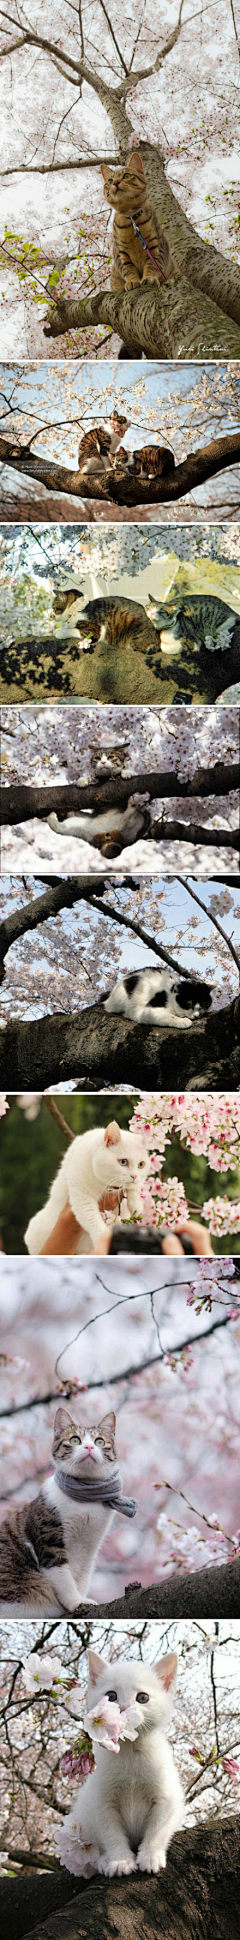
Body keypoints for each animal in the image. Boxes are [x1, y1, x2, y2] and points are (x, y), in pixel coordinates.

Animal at [24, 1125, 148, 1257]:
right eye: (123, 1162)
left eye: (141, 1164)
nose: (134, 1176)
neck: (104, 1184)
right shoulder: (82, 1197)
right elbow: (93, 1220)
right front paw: (103, 1241)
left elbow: (134, 1188)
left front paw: (136, 1205)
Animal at [56, 1645, 183, 1870]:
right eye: (111, 1696)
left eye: (142, 1698)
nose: (123, 1708)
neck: (130, 1751)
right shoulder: (101, 1800)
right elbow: (110, 1832)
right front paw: (119, 1860)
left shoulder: (167, 1797)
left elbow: (158, 1828)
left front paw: (150, 1856)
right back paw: (102, 1860)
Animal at [100, 151, 177, 291]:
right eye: (110, 180)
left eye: (126, 175)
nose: (116, 182)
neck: (131, 217)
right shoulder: (121, 252)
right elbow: (128, 269)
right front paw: (132, 281)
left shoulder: (156, 246)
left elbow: (153, 265)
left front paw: (149, 278)